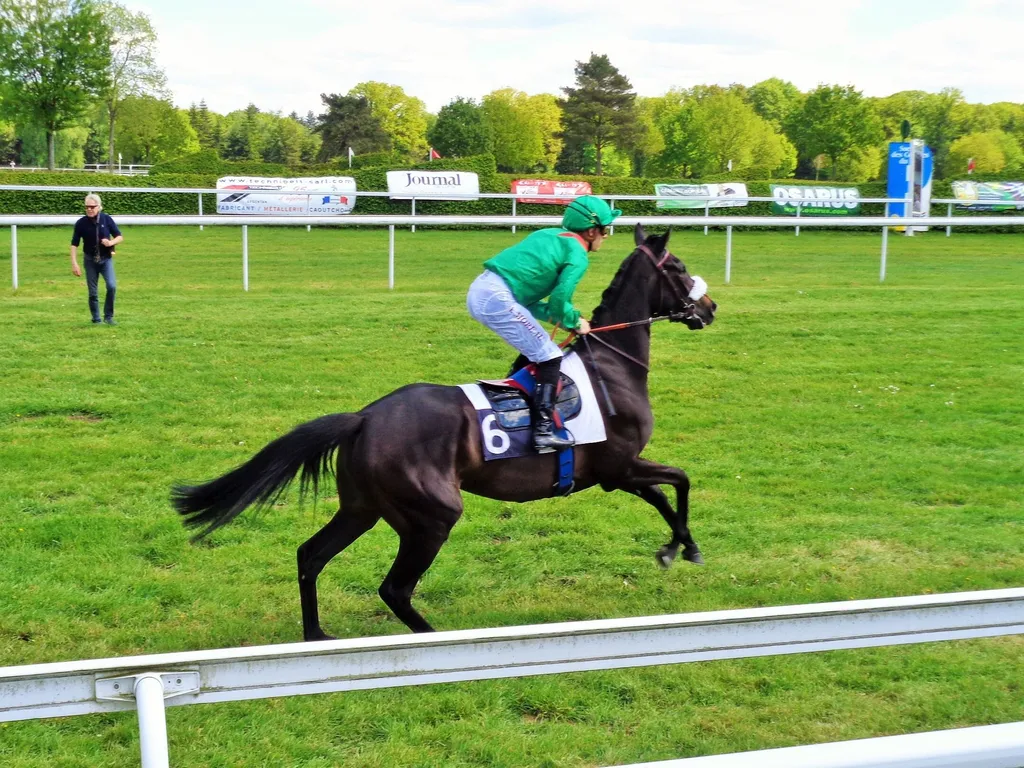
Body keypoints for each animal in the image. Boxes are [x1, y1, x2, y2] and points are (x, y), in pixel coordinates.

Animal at [172, 224, 718, 640]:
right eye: (677, 266)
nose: (709, 307)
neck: (612, 365)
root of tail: (365, 418)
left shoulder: (616, 472)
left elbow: (664, 493)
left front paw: (674, 547)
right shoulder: (617, 467)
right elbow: (680, 480)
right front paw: (684, 547)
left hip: (363, 507)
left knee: (311, 555)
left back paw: (316, 635)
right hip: (431, 515)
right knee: (393, 588)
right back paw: (434, 641)